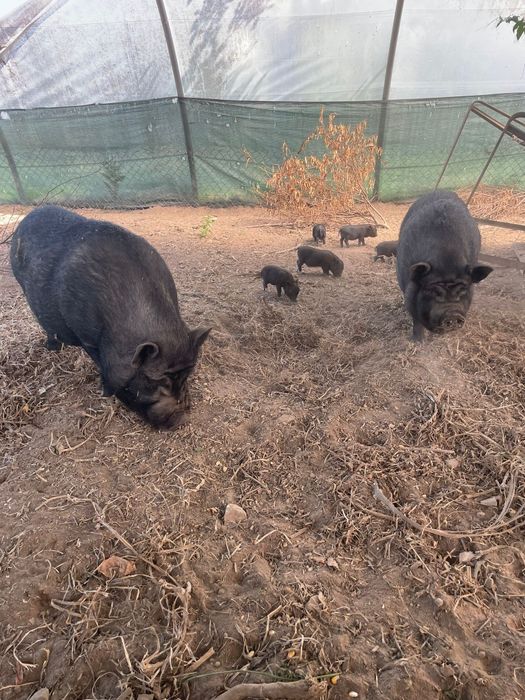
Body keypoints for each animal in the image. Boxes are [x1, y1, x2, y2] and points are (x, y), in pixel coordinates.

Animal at [10, 205, 211, 429]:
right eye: (153, 380)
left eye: (186, 376)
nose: (182, 418)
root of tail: (27, 217)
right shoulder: (87, 338)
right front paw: (106, 392)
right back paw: (54, 348)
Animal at [396, 191, 493, 341]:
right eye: (431, 290)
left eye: (463, 289)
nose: (452, 314)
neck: (446, 262)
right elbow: (416, 318)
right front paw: (418, 341)